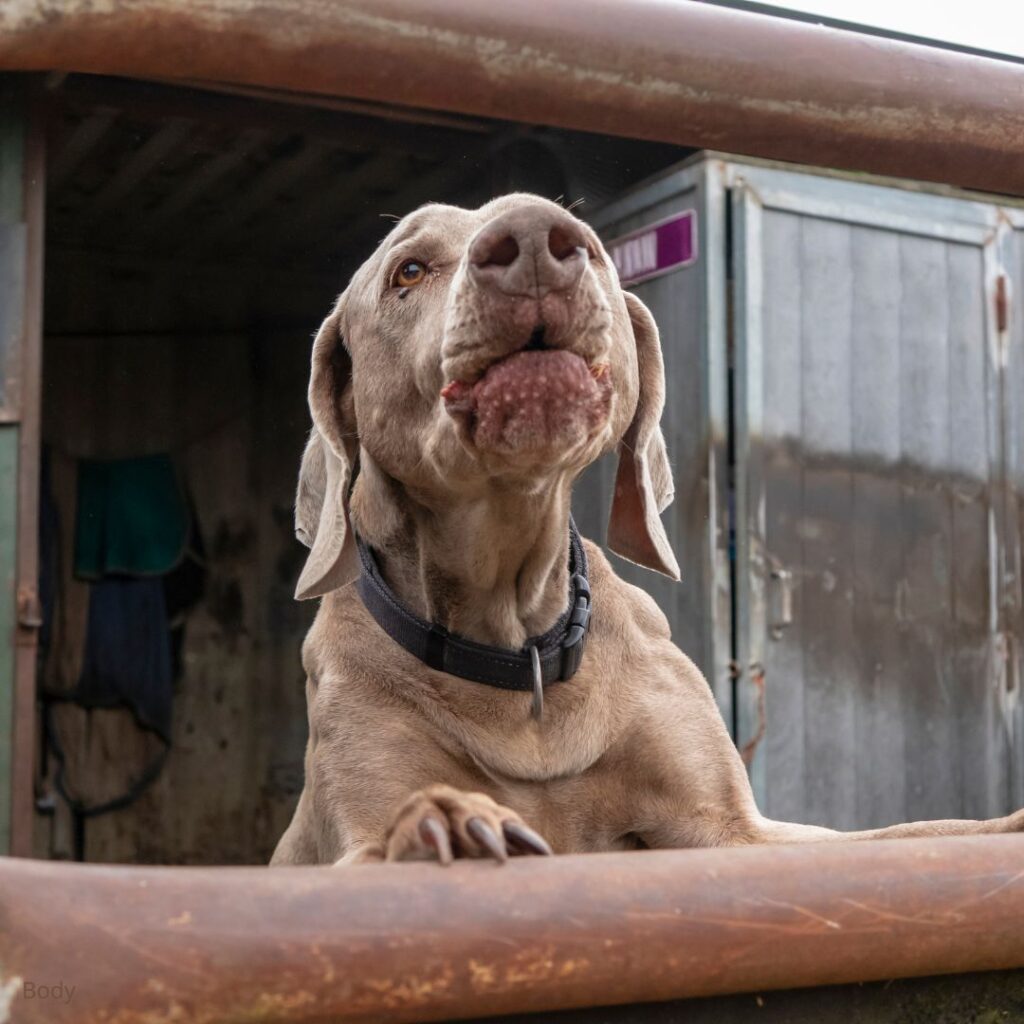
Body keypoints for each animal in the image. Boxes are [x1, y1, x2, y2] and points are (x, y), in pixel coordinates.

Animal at [272, 193, 1024, 864]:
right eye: (408, 270)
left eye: (599, 252)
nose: (537, 240)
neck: (520, 656)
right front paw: (444, 826)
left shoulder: (733, 828)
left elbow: (917, 832)